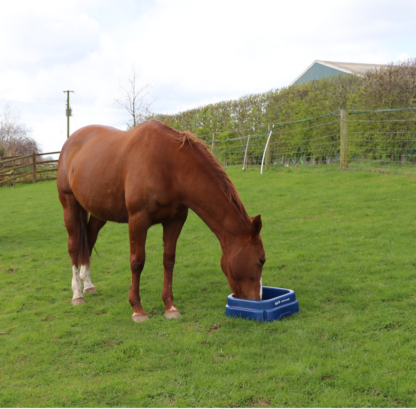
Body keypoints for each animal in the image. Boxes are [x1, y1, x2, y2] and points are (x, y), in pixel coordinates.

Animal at [57, 119, 264, 320]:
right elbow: (137, 262)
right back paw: (77, 294)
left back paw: (88, 284)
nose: (257, 300)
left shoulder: (175, 220)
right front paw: (137, 309)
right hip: (70, 206)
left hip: (99, 212)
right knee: (74, 247)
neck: (167, 164)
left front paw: (170, 306)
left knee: (89, 241)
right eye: (261, 260)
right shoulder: (137, 221)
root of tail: (70, 141)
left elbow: (169, 260)